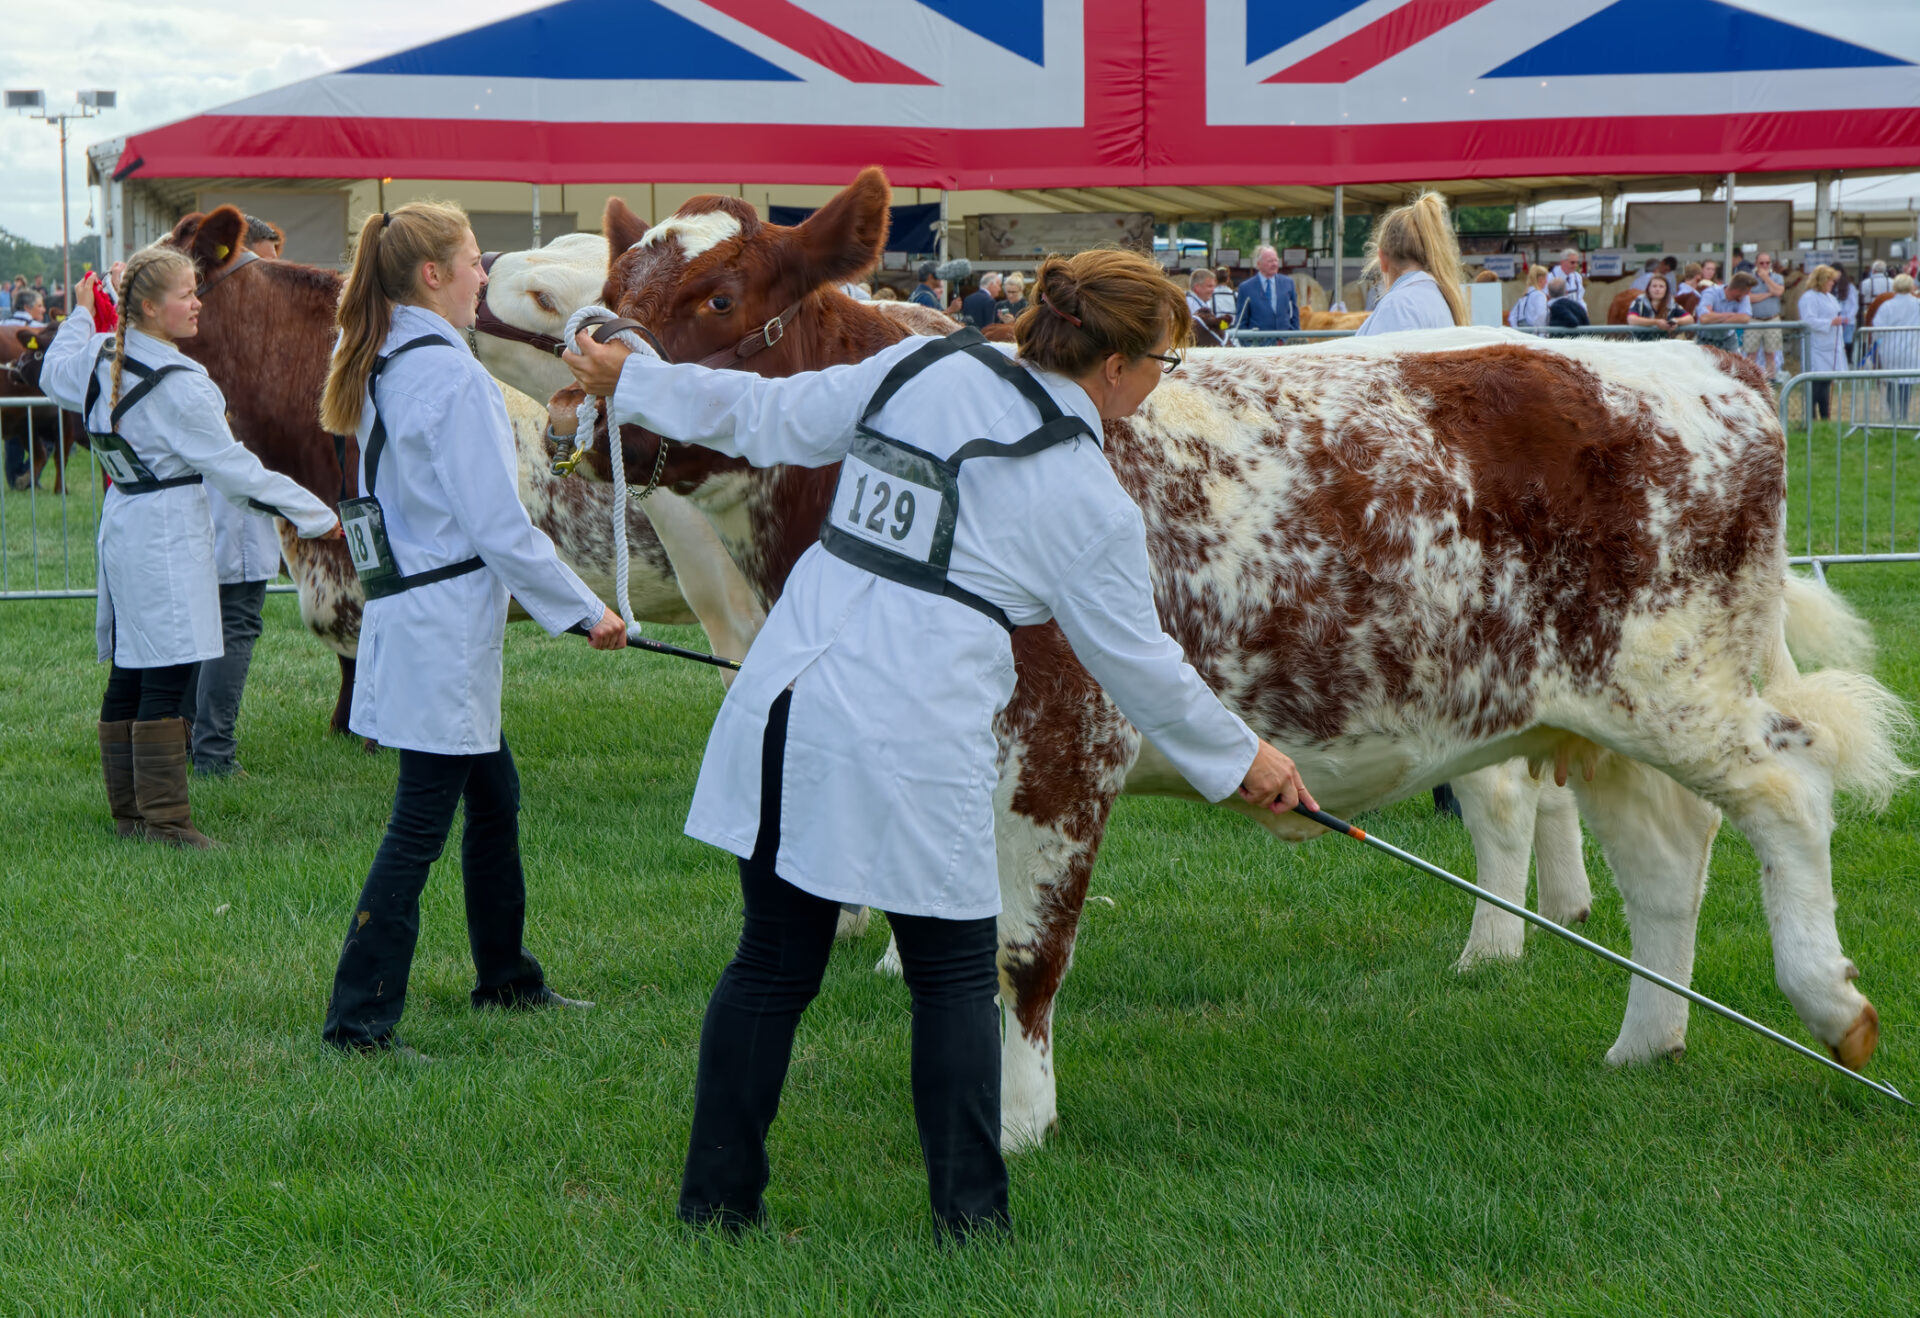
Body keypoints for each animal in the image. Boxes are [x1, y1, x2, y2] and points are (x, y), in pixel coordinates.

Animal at [564, 170, 1904, 1152]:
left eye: (722, 296)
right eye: (619, 279)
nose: (590, 378)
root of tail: (1708, 362)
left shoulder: (1061, 742)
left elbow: (1022, 947)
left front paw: (1017, 1123)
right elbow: (943, 931)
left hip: (1676, 682)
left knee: (1785, 781)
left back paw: (1830, 1004)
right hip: (1594, 707)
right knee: (1667, 854)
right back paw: (1646, 1040)